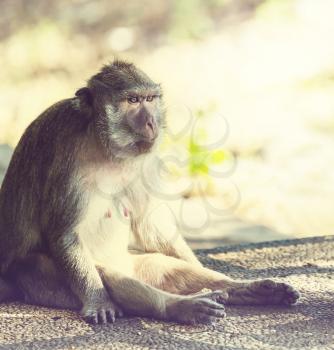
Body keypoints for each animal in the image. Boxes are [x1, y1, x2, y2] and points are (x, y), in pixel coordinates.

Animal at [0, 60, 298, 326]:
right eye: (132, 100)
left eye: (150, 99)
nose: (152, 123)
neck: (103, 144)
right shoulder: (66, 158)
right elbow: (65, 234)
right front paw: (99, 301)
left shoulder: (145, 160)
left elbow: (148, 222)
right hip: (35, 277)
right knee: (106, 273)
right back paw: (179, 307)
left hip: (131, 263)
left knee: (160, 265)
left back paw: (241, 289)